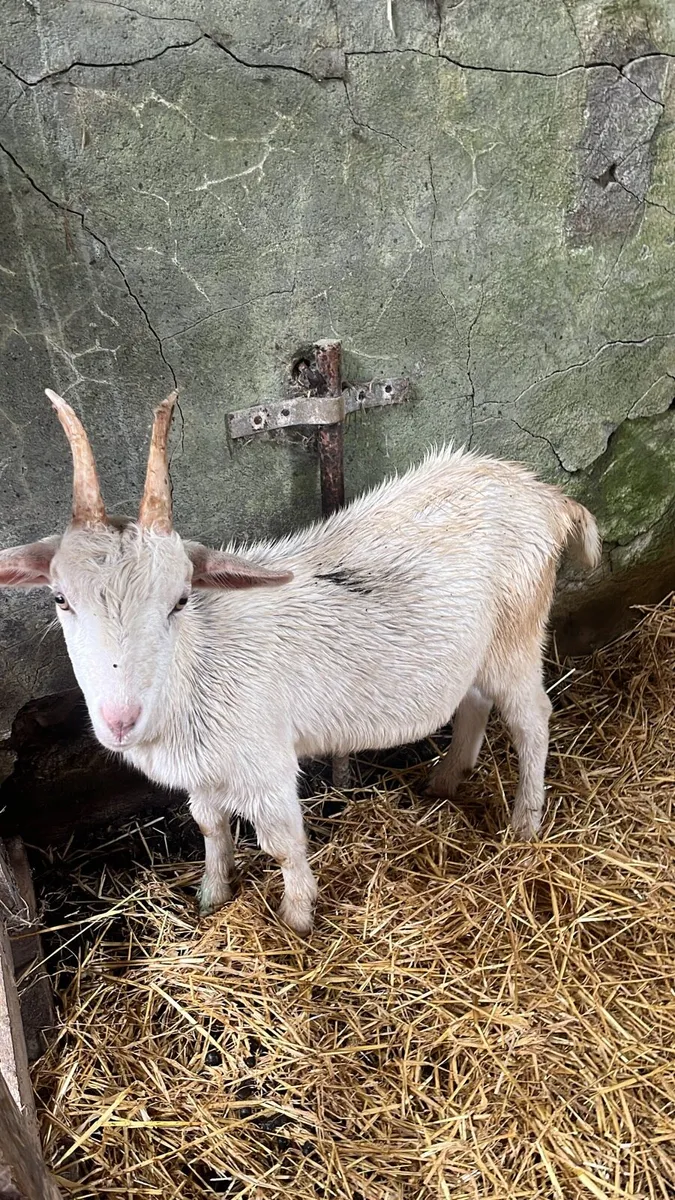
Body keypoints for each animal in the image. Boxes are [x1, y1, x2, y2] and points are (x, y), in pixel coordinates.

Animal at [0, 390, 601, 934]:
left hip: (517, 631)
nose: (120, 720)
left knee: (531, 719)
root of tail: (549, 497)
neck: (198, 662)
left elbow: (282, 844)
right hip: (476, 649)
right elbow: (210, 827)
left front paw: (297, 918)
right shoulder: (203, 771)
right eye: (60, 598)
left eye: (180, 599)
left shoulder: (265, 765)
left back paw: (525, 824)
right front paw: (212, 897)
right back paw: (446, 780)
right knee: (475, 701)